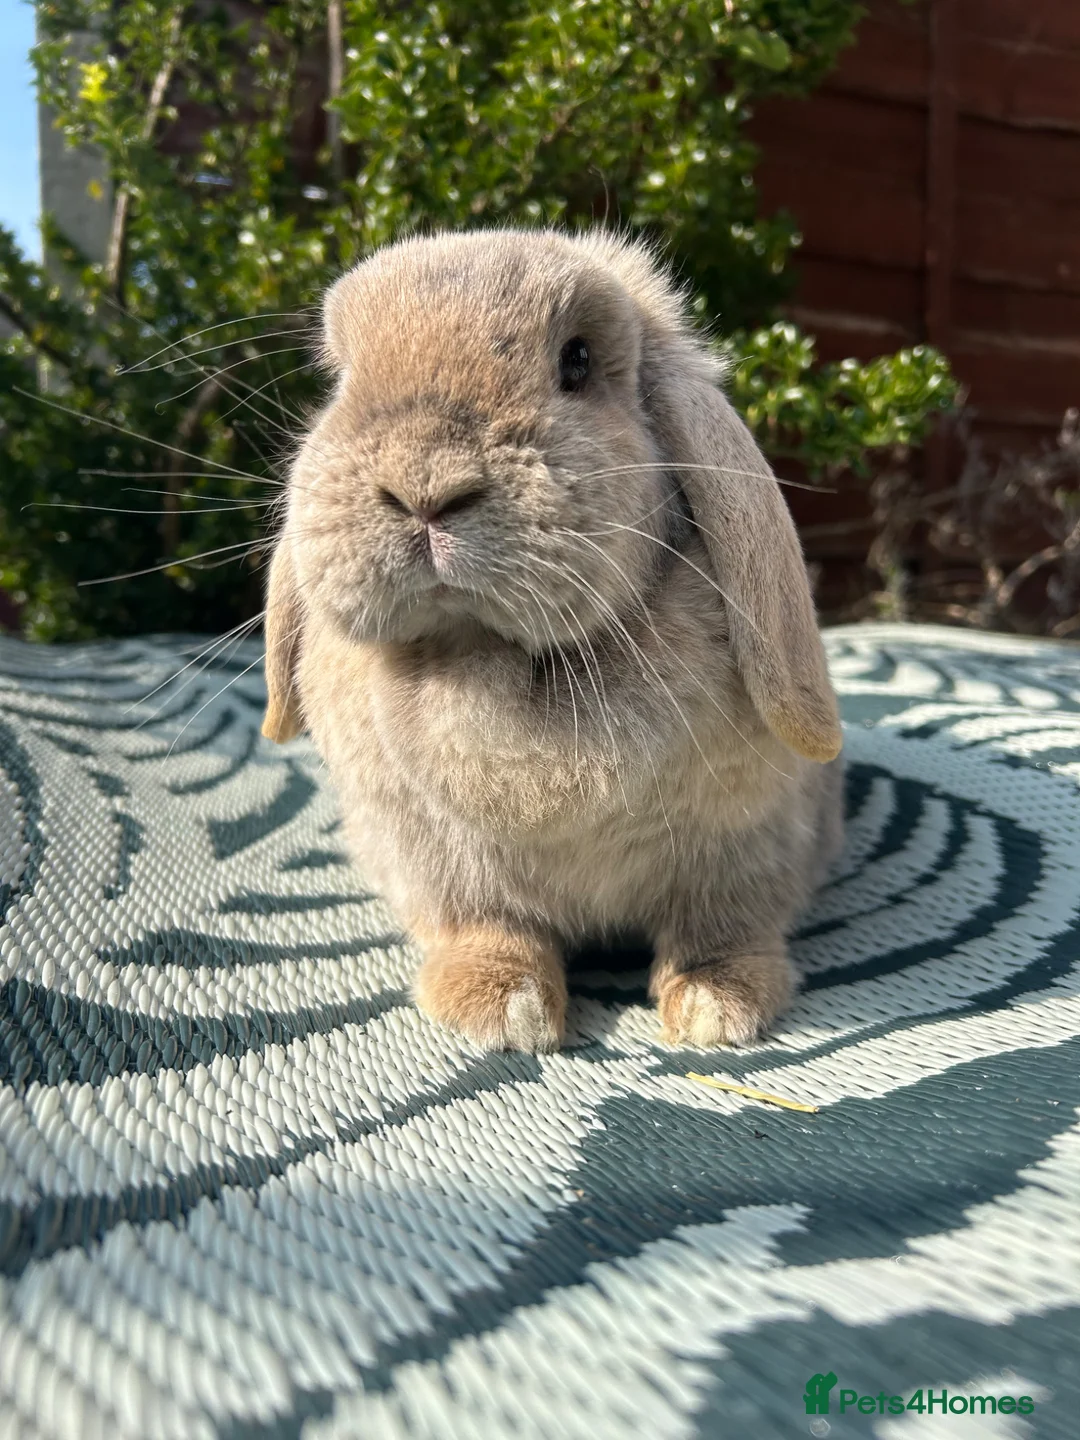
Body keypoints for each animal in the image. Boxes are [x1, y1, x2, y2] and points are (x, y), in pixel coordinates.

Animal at [261, 227, 844, 1053]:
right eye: (342, 379)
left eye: (577, 361)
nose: (424, 486)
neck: (493, 654)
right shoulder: (441, 867)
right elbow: (489, 930)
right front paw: (502, 1010)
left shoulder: (742, 844)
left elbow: (717, 928)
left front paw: (717, 1005)